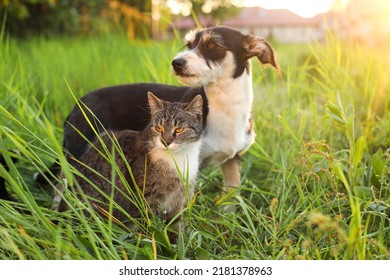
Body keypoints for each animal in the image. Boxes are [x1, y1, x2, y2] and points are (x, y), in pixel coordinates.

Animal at [34, 26, 280, 195]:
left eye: (212, 46)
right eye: (189, 44)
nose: (176, 63)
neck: (224, 105)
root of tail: (77, 104)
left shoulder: (232, 161)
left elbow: (231, 199)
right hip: (77, 153)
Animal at [62, 92, 203, 228]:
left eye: (179, 129)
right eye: (159, 128)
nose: (166, 142)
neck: (178, 158)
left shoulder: (180, 199)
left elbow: (176, 226)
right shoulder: (146, 200)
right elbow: (148, 228)